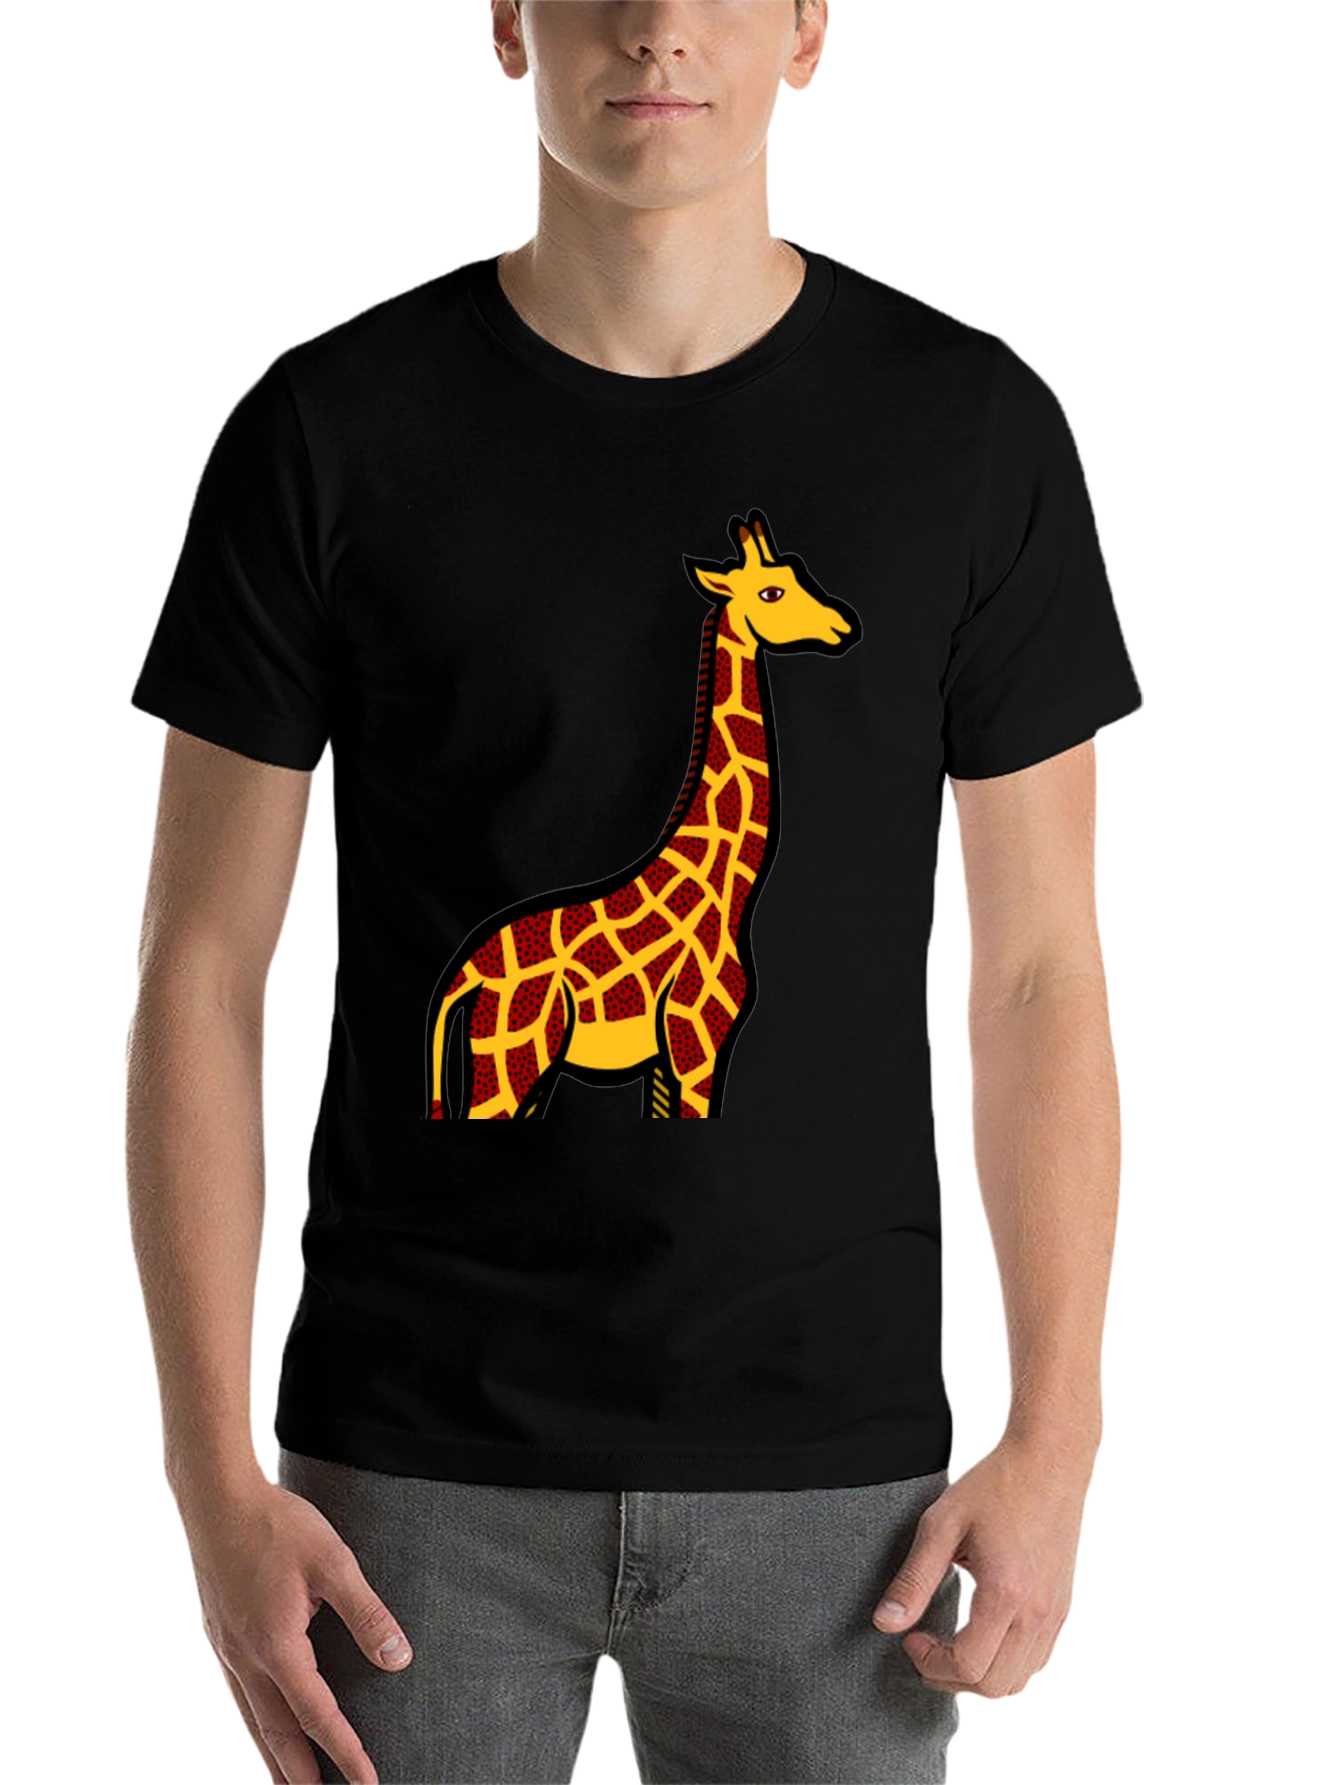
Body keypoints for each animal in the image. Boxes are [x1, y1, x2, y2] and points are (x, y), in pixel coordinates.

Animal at [429, 509, 859, 1119]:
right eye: (771, 592)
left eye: (797, 576)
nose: (841, 625)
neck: (728, 893)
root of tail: (465, 975)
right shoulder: (698, 1041)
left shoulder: (667, 1060)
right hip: (515, 1053)